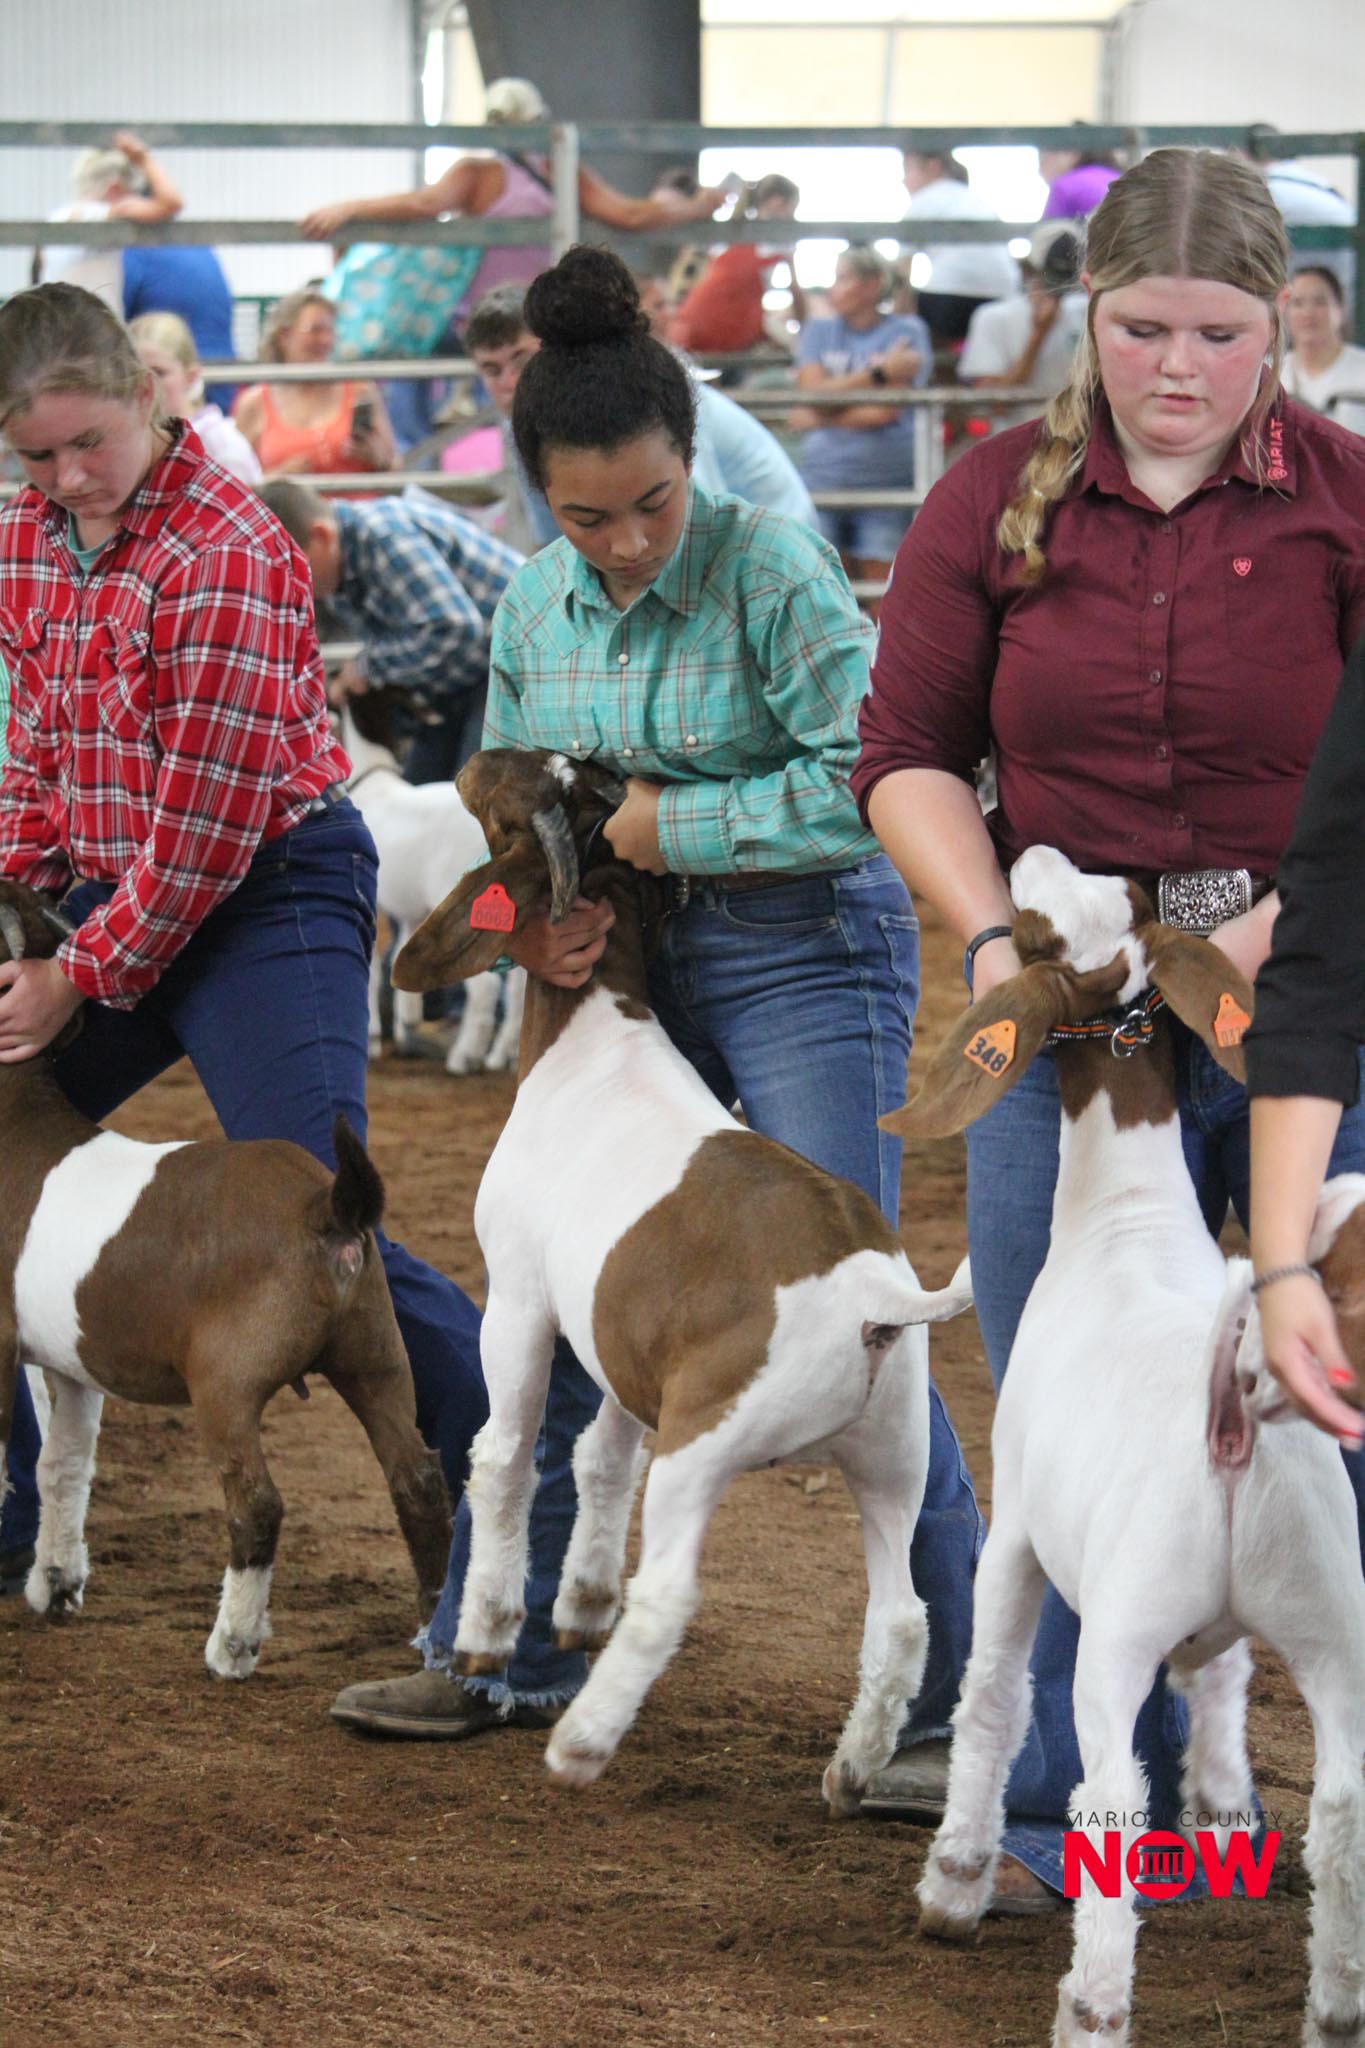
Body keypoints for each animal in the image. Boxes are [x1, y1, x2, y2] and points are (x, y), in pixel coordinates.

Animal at [0, 879, 452, 1680]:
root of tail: (326, 1206)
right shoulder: (73, 1361)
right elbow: (64, 1466)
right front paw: (55, 1582)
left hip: (226, 1378)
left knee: (258, 1503)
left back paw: (233, 1645)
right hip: (374, 1349)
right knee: (417, 1479)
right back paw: (432, 1632)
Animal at [339, 696, 524, 1074]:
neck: (376, 784)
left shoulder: (373, 900)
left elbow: (372, 970)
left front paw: (372, 1038)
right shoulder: (412, 909)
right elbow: (401, 953)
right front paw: (406, 1026)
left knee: (486, 985)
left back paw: (465, 1057)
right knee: (518, 987)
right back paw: (504, 1055)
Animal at [390, 746, 972, 1810]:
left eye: (526, 791)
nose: (477, 754)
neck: (596, 1035)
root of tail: (875, 1301)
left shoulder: (523, 1299)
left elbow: (508, 1454)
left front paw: (490, 1632)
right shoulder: (622, 1339)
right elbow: (598, 1456)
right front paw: (576, 1605)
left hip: (709, 1437)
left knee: (668, 1594)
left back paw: (581, 1742)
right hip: (891, 1446)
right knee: (902, 1611)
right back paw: (850, 1770)